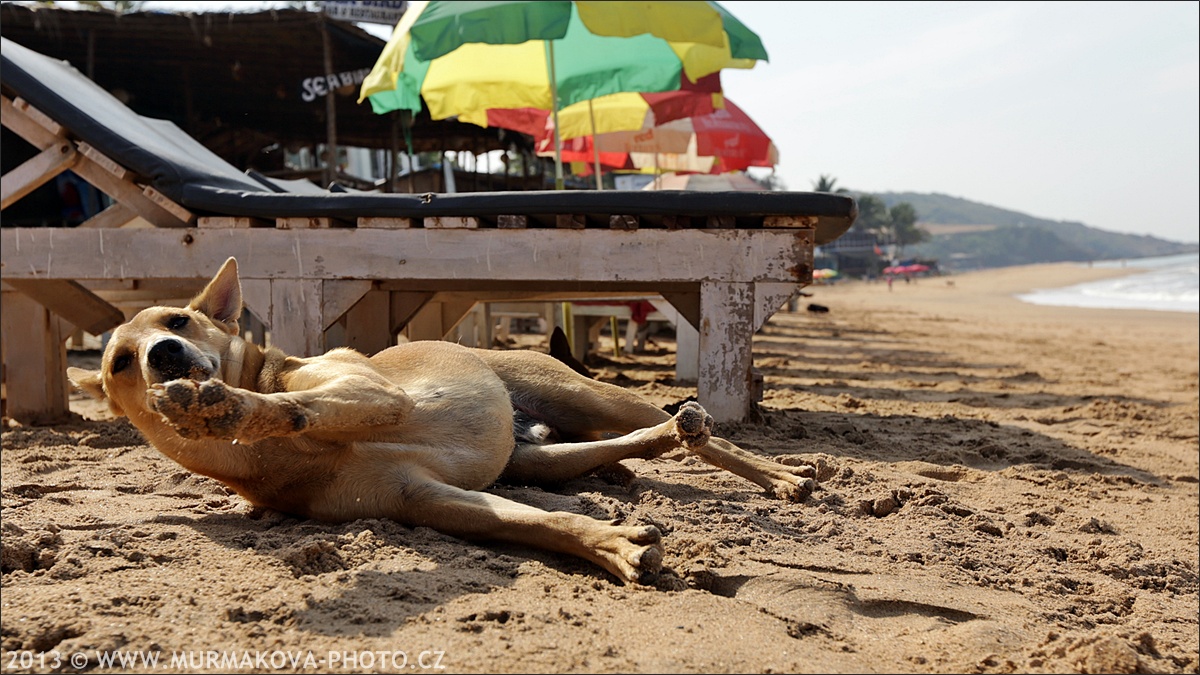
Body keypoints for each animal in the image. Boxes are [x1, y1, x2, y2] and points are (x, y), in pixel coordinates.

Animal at [68, 257, 816, 583]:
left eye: (176, 320)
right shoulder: (431, 500)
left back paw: (781, 475)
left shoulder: (371, 390)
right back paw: (666, 436)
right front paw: (611, 544)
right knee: (638, 442)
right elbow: (542, 523)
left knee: (712, 441)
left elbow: (293, 405)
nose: (163, 355)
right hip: (541, 460)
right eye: (118, 362)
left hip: (588, 397)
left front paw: (221, 403)